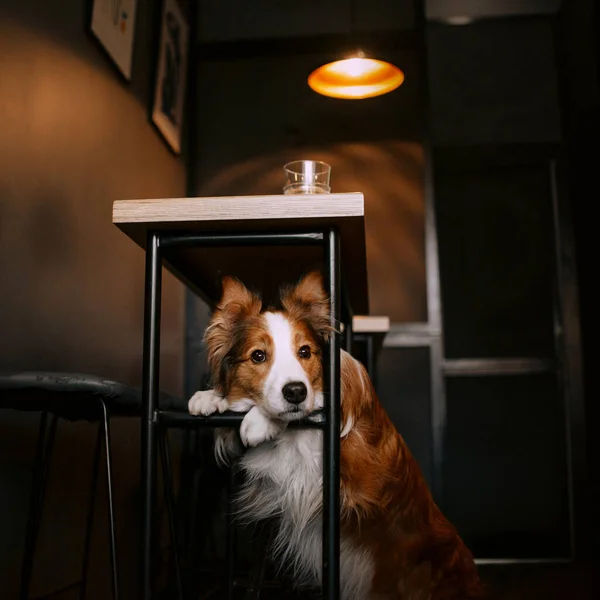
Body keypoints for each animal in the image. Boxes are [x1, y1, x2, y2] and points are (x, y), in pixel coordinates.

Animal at [190, 274, 486, 600]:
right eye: (258, 356)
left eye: (305, 352)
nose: (296, 392)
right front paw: (210, 398)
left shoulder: (347, 476)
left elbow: (305, 411)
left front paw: (260, 420)